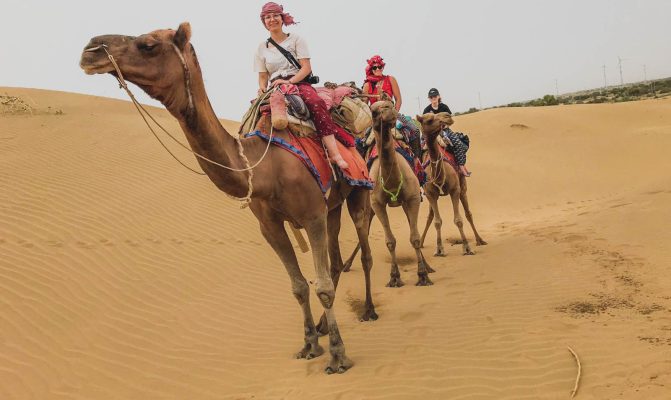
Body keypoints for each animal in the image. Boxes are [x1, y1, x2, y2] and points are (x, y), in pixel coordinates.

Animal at [78, 21, 378, 374]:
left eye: (149, 45)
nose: (90, 50)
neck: (265, 166)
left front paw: (338, 356)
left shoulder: (311, 216)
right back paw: (321, 326)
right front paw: (309, 344)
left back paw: (369, 310)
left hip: (358, 191)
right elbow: (299, 286)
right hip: (333, 205)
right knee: (334, 261)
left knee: (364, 250)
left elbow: (324, 288)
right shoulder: (271, 226)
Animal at [368, 100, 436, 288]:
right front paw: (394, 277)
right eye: (373, 111)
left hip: (409, 201)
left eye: (390, 104)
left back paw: (428, 267)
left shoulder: (412, 198)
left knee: (414, 231)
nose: (389, 111)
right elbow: (390, 241)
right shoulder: (377, 204)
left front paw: (422, 275)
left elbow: (415, 238)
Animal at [414, 111, 488, 256]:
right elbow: (437, 221)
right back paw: (421, 243)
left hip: (462, 185)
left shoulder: (455, 190)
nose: (447, 115)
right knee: (430, 216)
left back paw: (479, 240)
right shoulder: (431, 194)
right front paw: (439, 249)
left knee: (468, 213)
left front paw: (466, 247)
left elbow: (458, 220)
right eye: (429, 119)